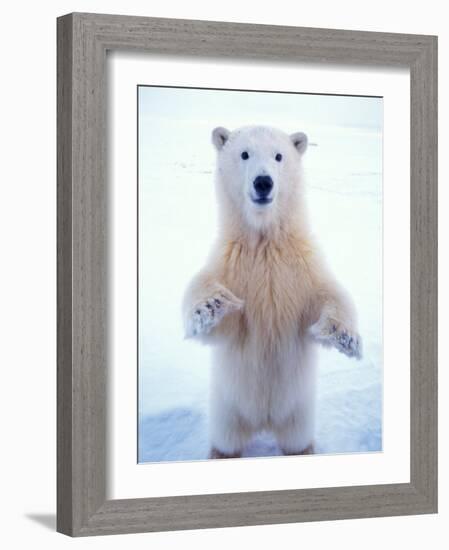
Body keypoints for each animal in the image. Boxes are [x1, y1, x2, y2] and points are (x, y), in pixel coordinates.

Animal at [182, 127, 360, 460]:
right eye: (244, 153)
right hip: (227, 408)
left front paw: (344, 336)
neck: (264, 242)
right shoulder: (231, 263)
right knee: (226, 441)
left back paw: (303, 450)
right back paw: (220, 453)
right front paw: (211, 304)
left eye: (279, 156)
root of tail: (263, 422)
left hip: (299, 412)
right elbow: (214, 309)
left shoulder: (300, 266)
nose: (263, 182)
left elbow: (328, 294)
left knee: (297, 441)